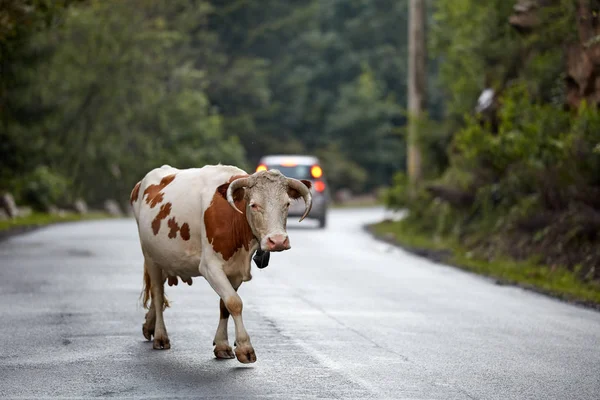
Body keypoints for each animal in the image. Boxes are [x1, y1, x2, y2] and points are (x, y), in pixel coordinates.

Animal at [129, 164, 312, 364]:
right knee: (157, 293)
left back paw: (149, 325)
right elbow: (234, 302)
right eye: (254, 205)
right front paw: (245, 347)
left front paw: (223, 345)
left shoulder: (236, 271)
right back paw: (161, 336)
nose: (278, 241)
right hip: (150, 256)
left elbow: (224, 304)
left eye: (287, 204)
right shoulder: (210, 267)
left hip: (165, 258)